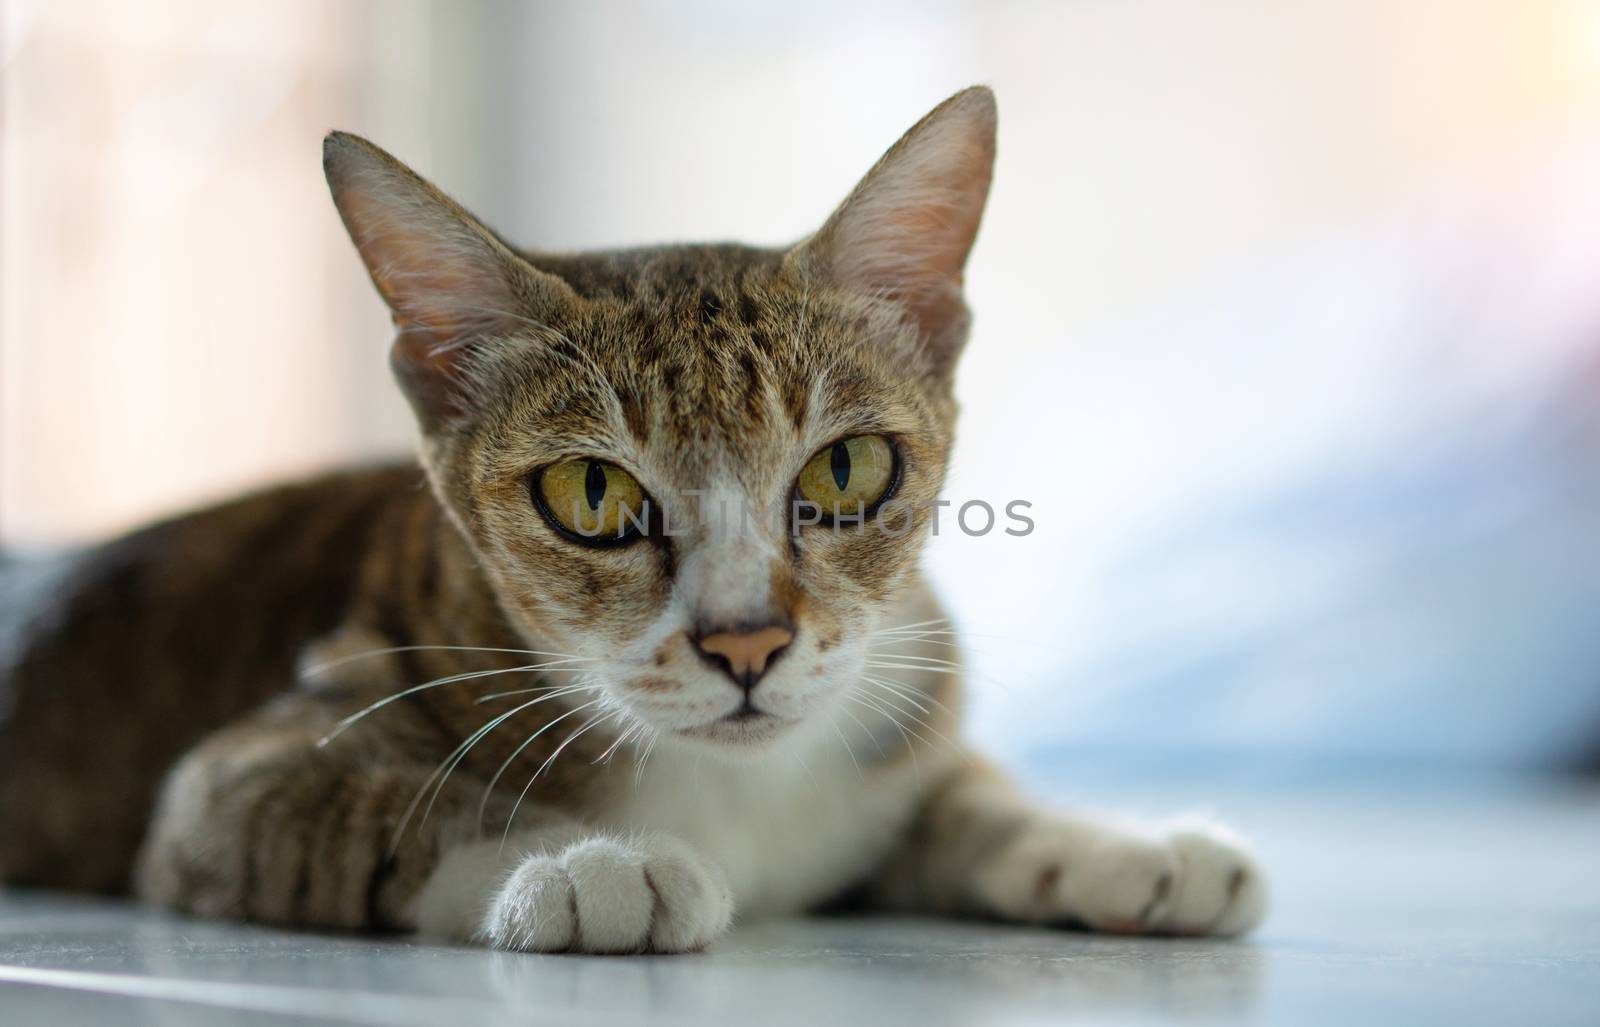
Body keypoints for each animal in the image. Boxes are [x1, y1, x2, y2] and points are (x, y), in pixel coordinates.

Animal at [3, 89, 1273, 953]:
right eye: (592, 496)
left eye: (847, 466)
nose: (747, 641)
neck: (741, 792)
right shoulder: (226, 787)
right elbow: (378, 807)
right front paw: (581, 861)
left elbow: (963, 797)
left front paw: (1115, 844)